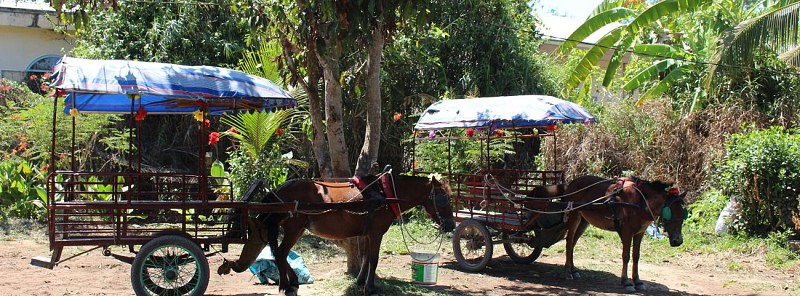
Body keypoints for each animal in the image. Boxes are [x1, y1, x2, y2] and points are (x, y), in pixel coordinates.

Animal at [219, 175, 456, 294]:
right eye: (444, 198)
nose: (451, 225)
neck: (385, 194)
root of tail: (279, 190)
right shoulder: (377, 232)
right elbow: (374, 259)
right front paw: (370, 287)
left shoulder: (368, 233)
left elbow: (365, 259)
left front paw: (360, 281)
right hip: (295, 228)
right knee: (280, 253)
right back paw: (286, 285)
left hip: (296, 228)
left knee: (280, 253)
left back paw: (292, 282)